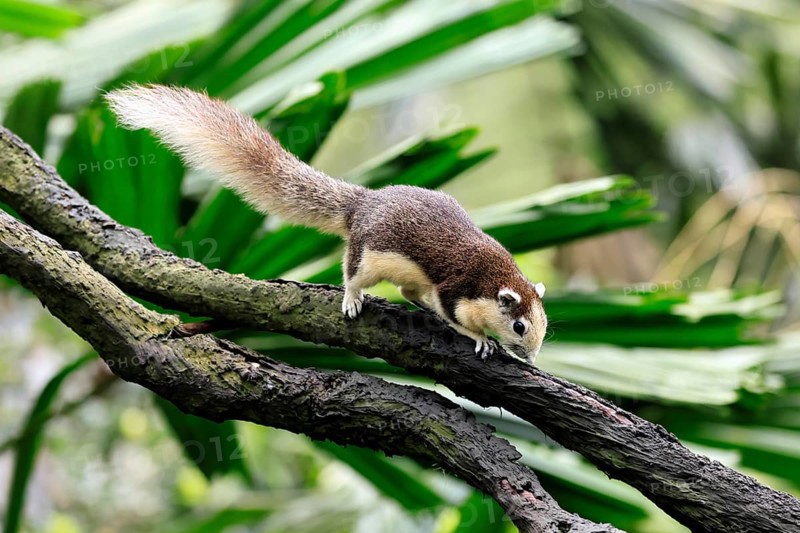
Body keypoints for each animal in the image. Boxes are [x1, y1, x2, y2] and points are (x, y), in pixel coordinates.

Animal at [105, 85, 547, 362]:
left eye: (544, 326)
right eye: (519, 326)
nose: (532, 359)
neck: (492, 277)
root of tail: (362, 203)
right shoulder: (455, 290)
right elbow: (457, 320)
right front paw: (481, 339)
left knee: (408, 290)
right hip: (367, 254)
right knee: (353, 273)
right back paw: (352, 299)